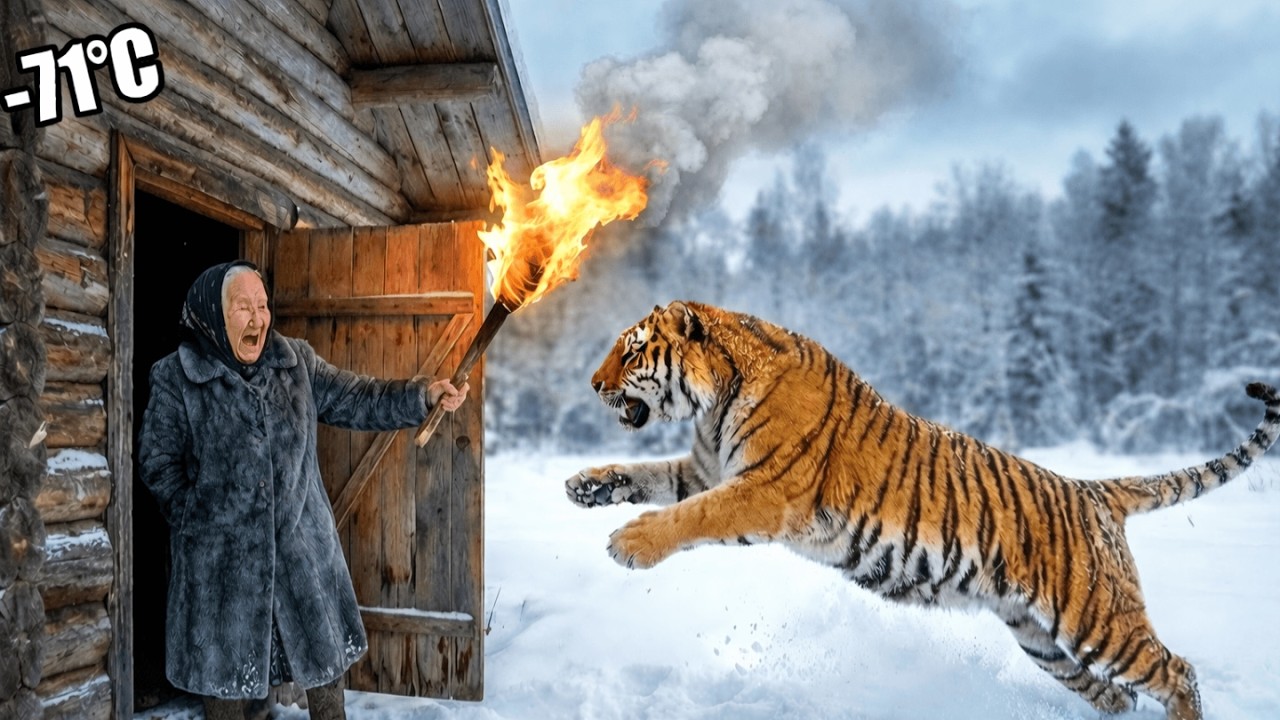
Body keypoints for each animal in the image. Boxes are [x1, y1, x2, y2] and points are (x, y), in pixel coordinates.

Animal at [564, 300, 1280, 720]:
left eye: (632, 350)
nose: (593, 384)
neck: (712, 406)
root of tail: (1094, 491)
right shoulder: (707, 470)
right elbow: (648, 476)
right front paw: (587, 486)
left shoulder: (762, 491)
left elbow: (692, 517)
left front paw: (629, 544)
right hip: (1040, 639)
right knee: (1117, 694)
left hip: (1097, 620)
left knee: (1177, 672)